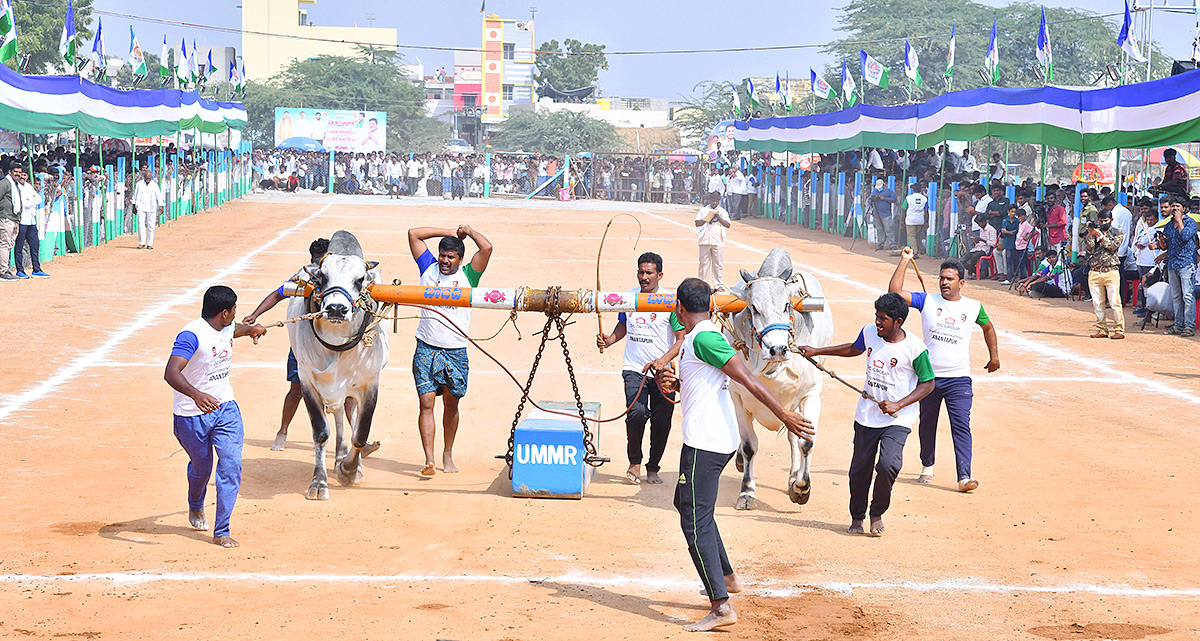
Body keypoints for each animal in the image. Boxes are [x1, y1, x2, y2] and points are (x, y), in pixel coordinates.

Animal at [286, 231, 388, 501]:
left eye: (360, 279)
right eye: (322, 276)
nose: (335, 309)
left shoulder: (370, 384)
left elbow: (361, 434)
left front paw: (350, 470)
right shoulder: (307, 381)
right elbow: (321, 432)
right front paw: (319, 482)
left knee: (349, 417)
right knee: (340, 415)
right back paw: (340, 454)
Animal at [720, 248, 835, 511]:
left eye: (786, 305)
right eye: (753, 308)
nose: (778, 349)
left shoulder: (810, 395)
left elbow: (806, 442)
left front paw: (801, 487)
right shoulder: (738, 396)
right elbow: (749, 446)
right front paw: (747, 492)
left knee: (794, 438)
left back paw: (794, 475)